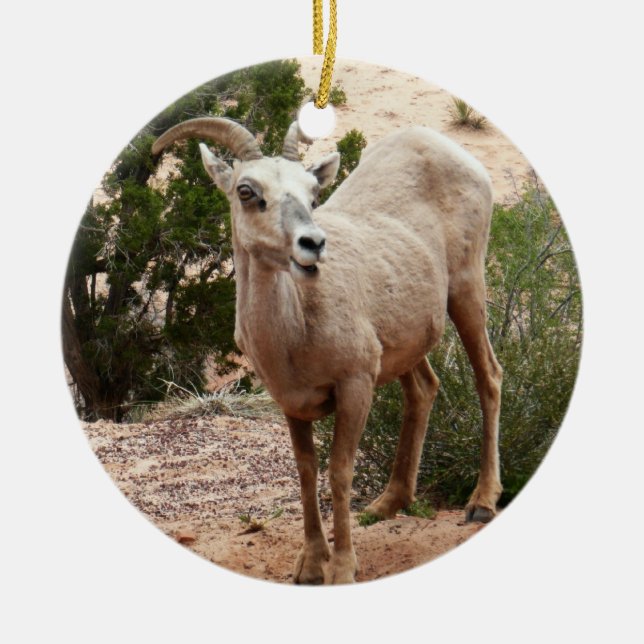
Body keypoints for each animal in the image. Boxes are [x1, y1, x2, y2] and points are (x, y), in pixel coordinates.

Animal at [151, 117, 503, 584]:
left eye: (312, 194)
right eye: (246, 190)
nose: (313, 244)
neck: (295, 332)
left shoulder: (355, 385)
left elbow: (339, 471)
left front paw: (342, 568)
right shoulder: (291, 403)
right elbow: (306, 471)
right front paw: (310, 565)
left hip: (466, 289)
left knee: (489, 377)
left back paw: (481, 502)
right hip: (405, 340)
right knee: (424, 389)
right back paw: (387, 505)